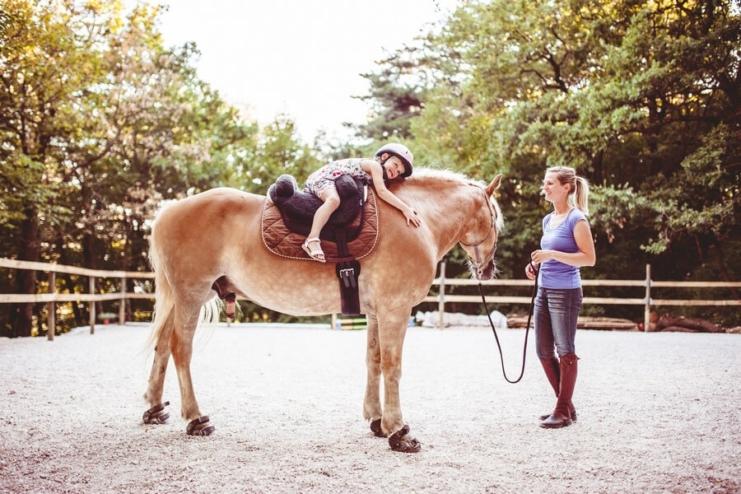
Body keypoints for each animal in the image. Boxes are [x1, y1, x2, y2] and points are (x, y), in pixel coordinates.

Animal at [143, 168, 503, 453]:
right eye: (496, 220)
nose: (488, 270)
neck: (416, 220)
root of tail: (167, 211)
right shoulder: (394, 309)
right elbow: (392, 366)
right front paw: (399, 430)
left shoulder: (376, 312)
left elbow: (373, 361)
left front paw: (376, 419)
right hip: (192, 295)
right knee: (181, 350)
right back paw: (195, 418)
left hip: (181, 298)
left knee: (162, 347)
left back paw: (155, 407)